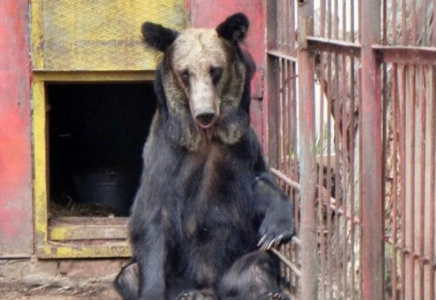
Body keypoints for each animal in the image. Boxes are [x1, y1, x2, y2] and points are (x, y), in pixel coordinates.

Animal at [114, 12, 294, 298]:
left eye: (215, 70)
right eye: (185, 72)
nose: (204, 113)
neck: (207, 137)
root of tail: (209, 288)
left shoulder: (240, 149)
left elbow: (262, 185)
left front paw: (275, 230)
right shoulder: (167, 158)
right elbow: (153, 219)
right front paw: (152, 290)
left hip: (234, 265)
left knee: (257, 265)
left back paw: (269, 291)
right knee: (129, 274)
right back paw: (187, 293)